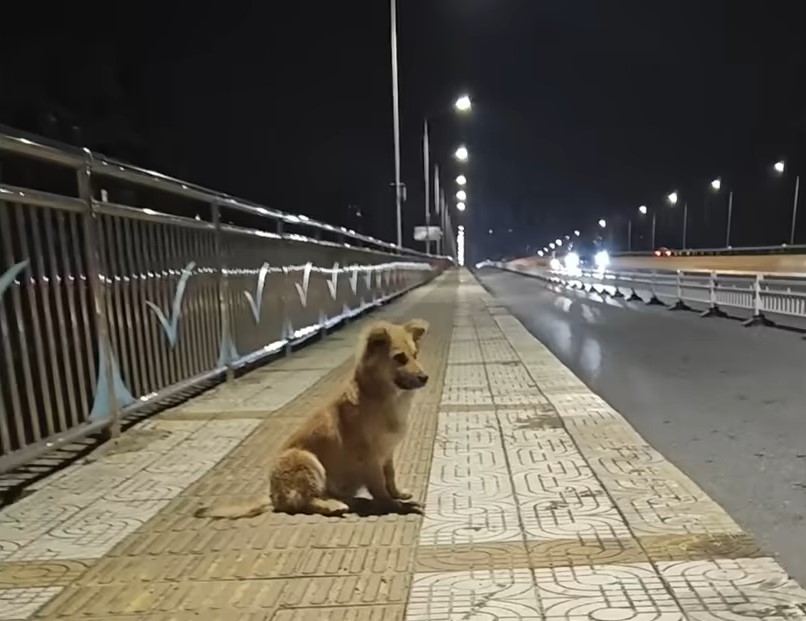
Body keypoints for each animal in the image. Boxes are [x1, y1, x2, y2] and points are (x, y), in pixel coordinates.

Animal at [195, 314, 430, 520]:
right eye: (399, 358)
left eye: (415, 355)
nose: (425, 377)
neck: (381, 397)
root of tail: (273, 496)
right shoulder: (369, 455)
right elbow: (379, 484)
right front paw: (391, 503)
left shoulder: (387, 452)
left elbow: (390, 476)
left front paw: (398, 494)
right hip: (305, 459)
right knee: (304, 502)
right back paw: (334, 506)